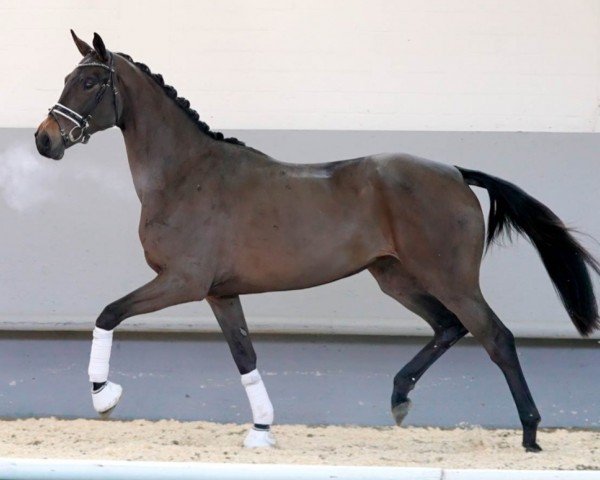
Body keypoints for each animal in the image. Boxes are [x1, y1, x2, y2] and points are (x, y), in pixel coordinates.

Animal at [35, 31, 596, 452]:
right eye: (67, 78)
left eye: (90, 80)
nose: (45, 139)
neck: (186, 175)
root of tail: (456, 173)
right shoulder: (220, 293)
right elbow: (245, 357)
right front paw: (261, 430)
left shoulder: (182, 282)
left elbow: (109, 313)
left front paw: (104, 396)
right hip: (396, 278)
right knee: (449, 327)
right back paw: (399, 399)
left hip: (451, 279)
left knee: (495, 337)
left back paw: (530, 434)